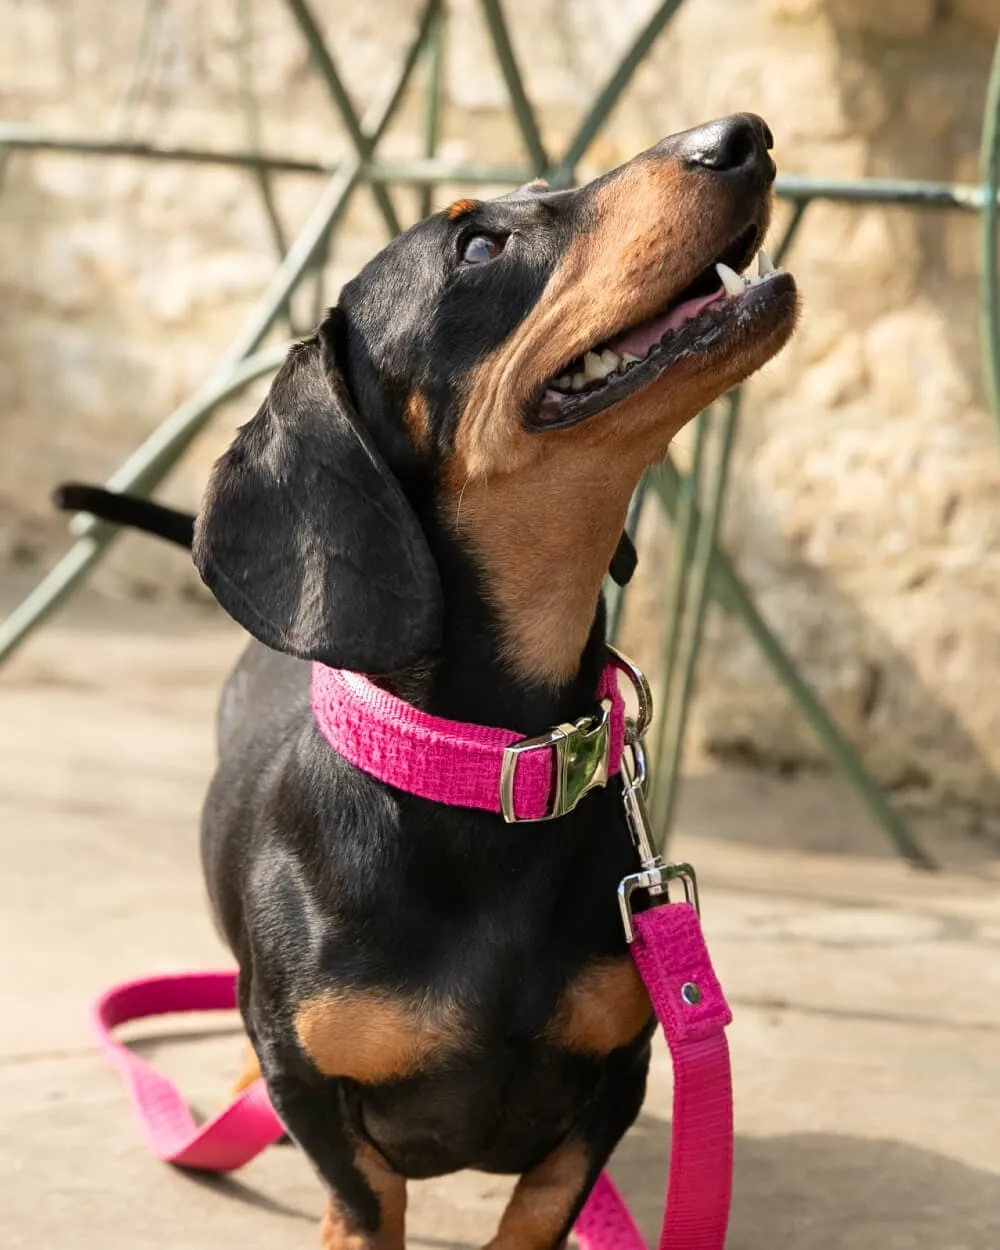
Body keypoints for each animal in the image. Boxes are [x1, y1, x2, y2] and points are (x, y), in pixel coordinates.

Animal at [60, 117, 795, 1250]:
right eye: (479, 246)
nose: (740, 136)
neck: (485, 771)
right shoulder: (312, 1085)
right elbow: (365, 1198)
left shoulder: (623, 1068)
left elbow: (542, 1201)